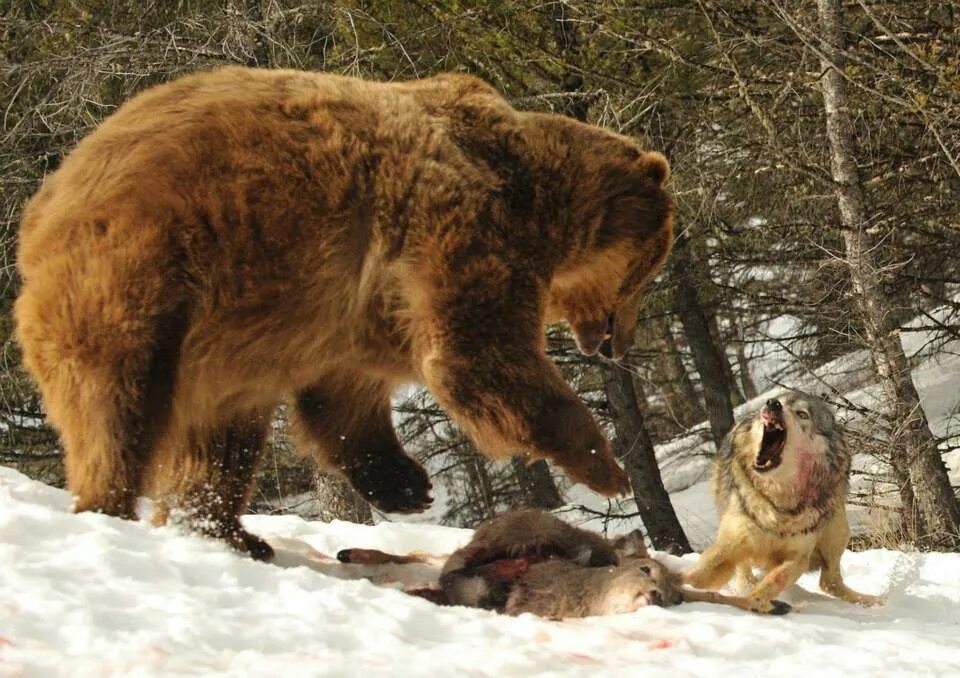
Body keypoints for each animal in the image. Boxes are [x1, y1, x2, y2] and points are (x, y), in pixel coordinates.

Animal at [15, 66, 676, 560]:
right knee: (118, 403)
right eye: (648, 269)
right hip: (144, 271)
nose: (616, 343)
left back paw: (228, 531)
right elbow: (477, 355)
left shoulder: (353, 308)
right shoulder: (462, 227)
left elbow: (345, 394)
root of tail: (40, 208)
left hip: (222, 335)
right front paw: (606, 464)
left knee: (221, 438)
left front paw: (407, 484)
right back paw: (112, 506)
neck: (540, 199)